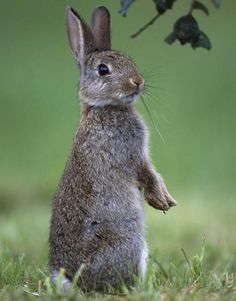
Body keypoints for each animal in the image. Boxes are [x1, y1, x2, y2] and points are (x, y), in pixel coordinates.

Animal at [48, 4, 176, 290]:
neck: (103, 108)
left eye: (130, 60)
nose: (137, 81)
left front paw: (167, 199)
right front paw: (160, 200)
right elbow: (148, 174)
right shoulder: (132, 153)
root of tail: (73, 279)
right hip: (131, 243)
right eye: (103, 70)